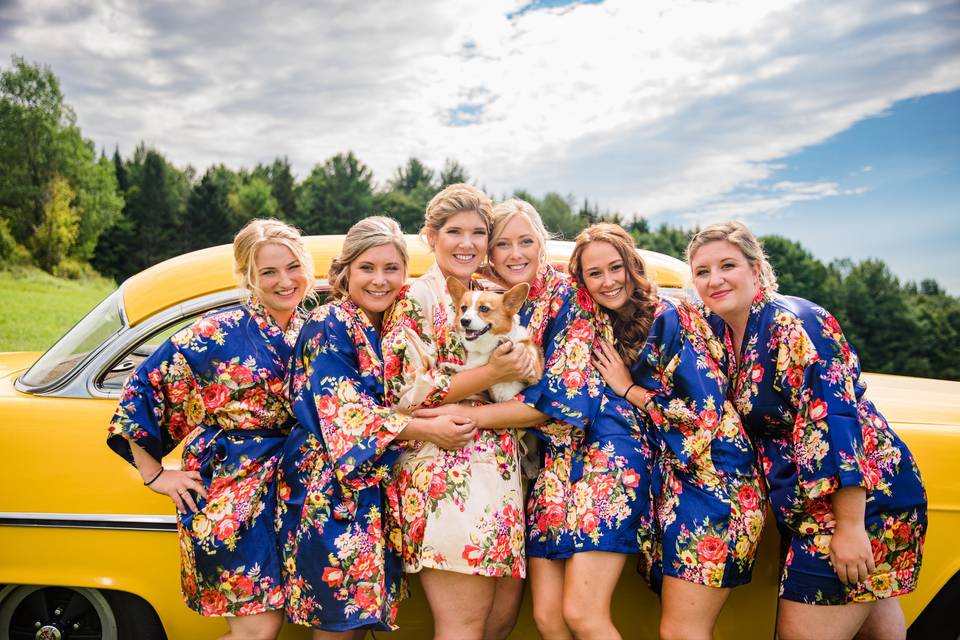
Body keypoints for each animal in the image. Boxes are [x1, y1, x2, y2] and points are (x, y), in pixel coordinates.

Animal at [446, 276, 544, 404]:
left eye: (484, 308)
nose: (464, 321)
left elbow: (527, 354)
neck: (486, 347)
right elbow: (469, 369)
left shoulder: (534, 374)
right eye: (463, 308)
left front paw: (508, 343)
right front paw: (453, 367)